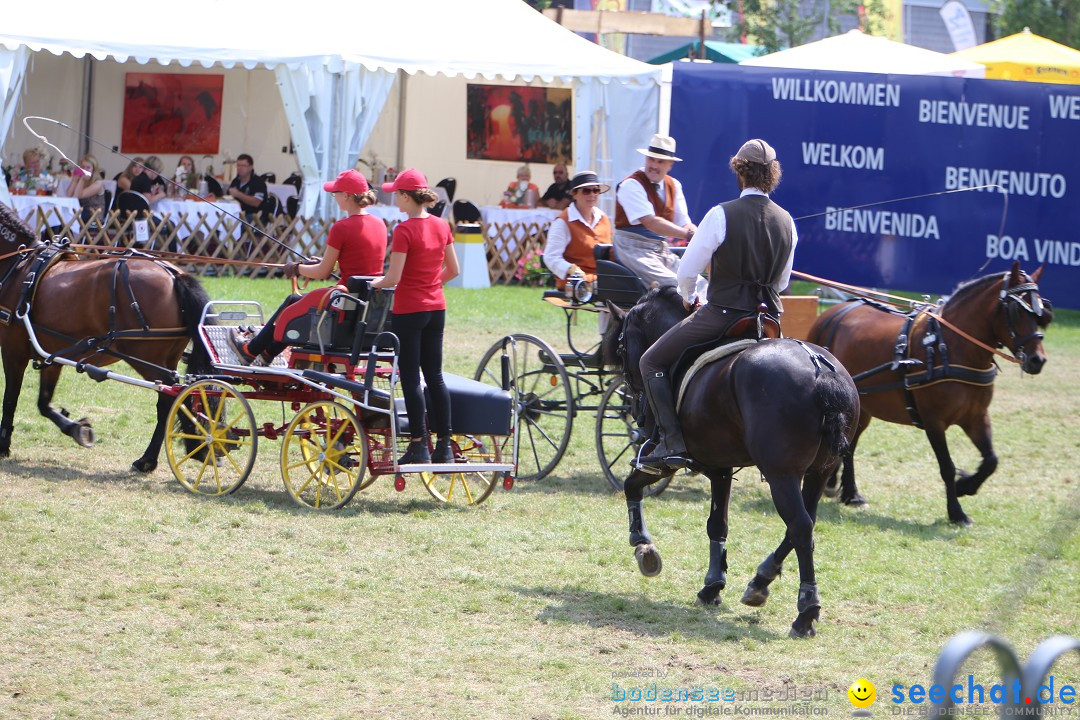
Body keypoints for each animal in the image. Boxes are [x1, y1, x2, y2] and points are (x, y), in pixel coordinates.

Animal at [0, 202, 211, 472]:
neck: (19, 271)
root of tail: (174, 274)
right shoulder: (52, 353)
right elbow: (43, 403)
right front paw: (77, 429)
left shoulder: (13, 350)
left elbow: (10, 399)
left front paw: (2, 444)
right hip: (167, 357)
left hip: (144, 356)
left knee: (170, 395)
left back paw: (149, 459)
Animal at [613, 287, 855, 634]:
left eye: (620, 348)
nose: (636, 410)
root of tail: (818, 365)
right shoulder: (720, 467)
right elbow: (718, 524)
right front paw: (712, 586)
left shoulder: (668, 460)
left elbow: (631, 484)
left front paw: (643, 545)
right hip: (818, 473)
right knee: (802, 526)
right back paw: (761, 581)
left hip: (781, 476)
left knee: (800, 526)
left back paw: (806, 611)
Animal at [812, 262, 1054, 526]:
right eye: (1017, 311)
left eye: (1041, 313)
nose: (1037, 360)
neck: (951, 348)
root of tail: (833, 312)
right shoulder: (933, 421)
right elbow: (947, 467)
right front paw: (956, 512)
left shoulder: (976, 416)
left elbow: (991, 460)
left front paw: (965, 486)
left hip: (861, 407)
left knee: (850, 444)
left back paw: (849, 492)